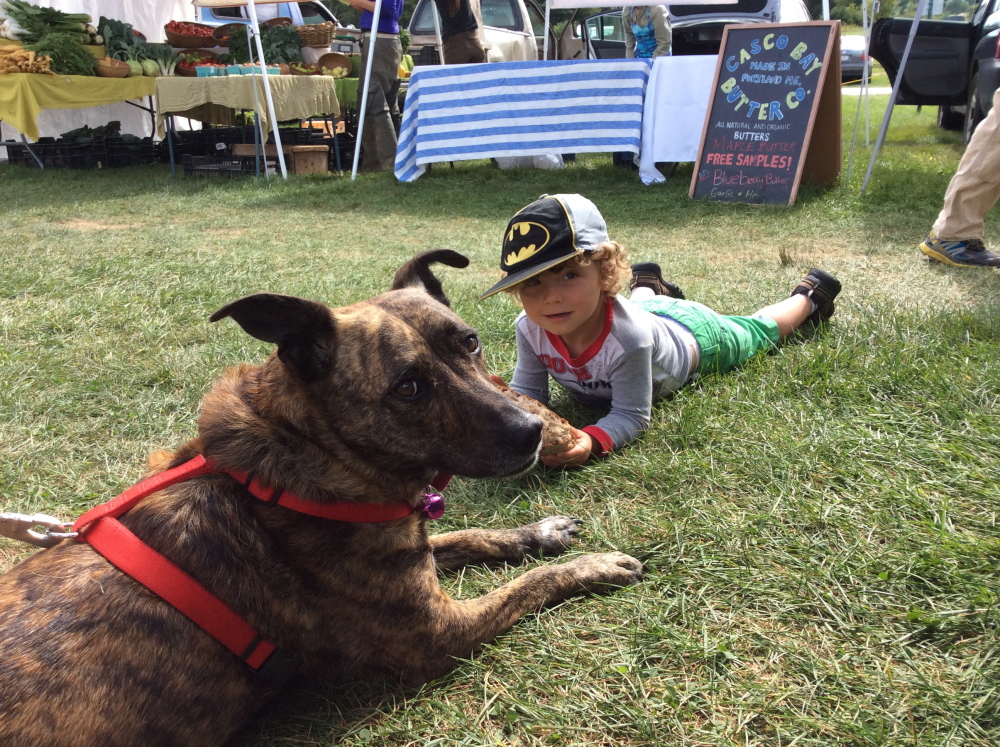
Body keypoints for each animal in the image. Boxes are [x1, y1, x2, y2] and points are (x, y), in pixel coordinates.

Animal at [0, 251, 640, 747]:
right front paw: (592, 564)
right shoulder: (435, 634)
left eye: (471, 342)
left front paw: (540, 533)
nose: (530, 431)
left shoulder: (408, 548)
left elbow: (470, 536)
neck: (308, 453)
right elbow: (528, 584)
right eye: (408, 388)